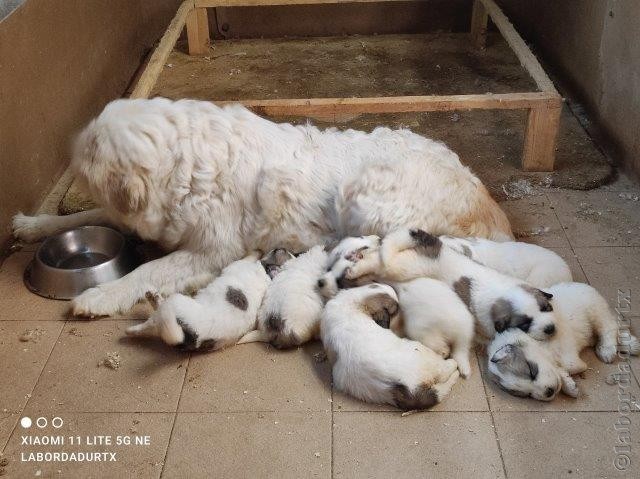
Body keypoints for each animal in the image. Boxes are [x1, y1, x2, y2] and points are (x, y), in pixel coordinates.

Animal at [322, 284, 458, 412]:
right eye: (396, 311)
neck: (355, 302)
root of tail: (408, 389)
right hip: (421, 351)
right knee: (444, 370)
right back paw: (453, 365)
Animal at [484, 284, 640, 400]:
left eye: (532, 372)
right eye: (526, 394)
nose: (548, 392)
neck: (539, 346)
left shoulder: (564, 342)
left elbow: (570, 365)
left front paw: (577, 370)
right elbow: (560, 371)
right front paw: (570, 386)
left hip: (596, 313)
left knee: (609, 328)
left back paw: (608, 350)